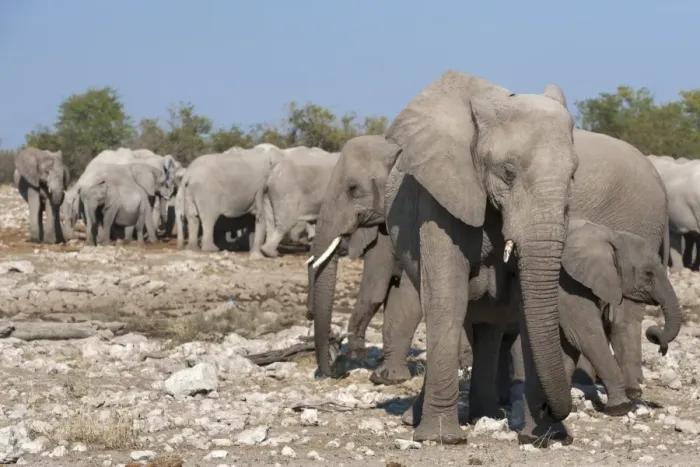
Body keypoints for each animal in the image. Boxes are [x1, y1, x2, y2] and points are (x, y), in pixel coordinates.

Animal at [311, 71, 669, 445]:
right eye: (507, 172)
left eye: (573, 176)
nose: (330, 373)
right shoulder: (437, 195)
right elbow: (442, 294)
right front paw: (441, 437)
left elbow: (527, 305)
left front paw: (541, 435)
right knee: (484, 321)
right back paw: (470, 413)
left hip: (639, 219)